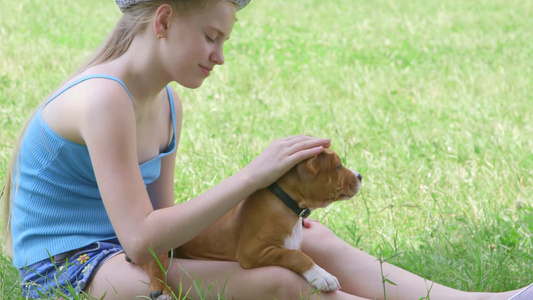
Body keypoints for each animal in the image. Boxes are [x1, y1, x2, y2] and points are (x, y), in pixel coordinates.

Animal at [141, 148, 360, 298]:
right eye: (338, 166)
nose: (361, 175)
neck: (288, 205)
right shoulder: (252, 252)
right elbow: (296, 256)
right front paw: (321, 275)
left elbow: (295, 252)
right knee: (151, 260)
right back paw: (161, 290)